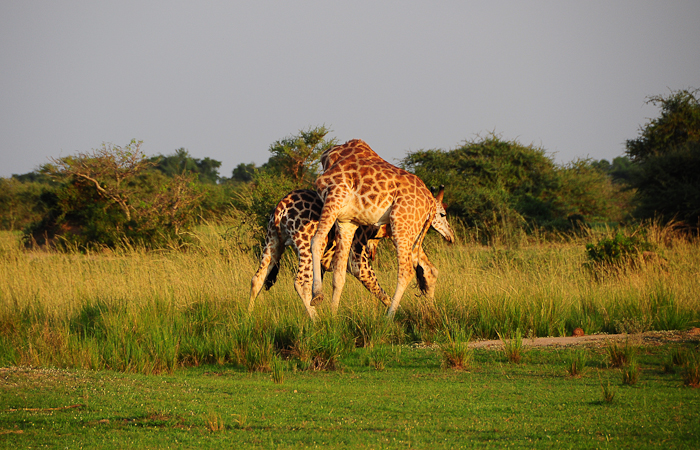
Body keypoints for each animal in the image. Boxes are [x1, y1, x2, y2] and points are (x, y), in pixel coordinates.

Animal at [247, 190, 454, 320]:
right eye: (442, 214)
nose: (450, 236)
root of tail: (280, 207)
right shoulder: (357, 260)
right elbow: (378, 289)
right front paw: (399, 314)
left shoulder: (325, 265)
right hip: (305, 244)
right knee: (299, 282)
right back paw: (316, 320)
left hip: (272, 242)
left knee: (257, 279)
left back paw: (249, 318)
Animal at [310, 139, 454, 318]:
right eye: (443, 215)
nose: (451, 236)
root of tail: (430, 203)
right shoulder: (347, 221)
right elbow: (339, 272)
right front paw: (333, 315)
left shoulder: (336, 193)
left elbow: (316, 241)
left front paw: (317, 295)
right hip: (412, 231)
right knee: (427, 270)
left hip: (401, 224)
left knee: (406, 271)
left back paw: (389, 316)